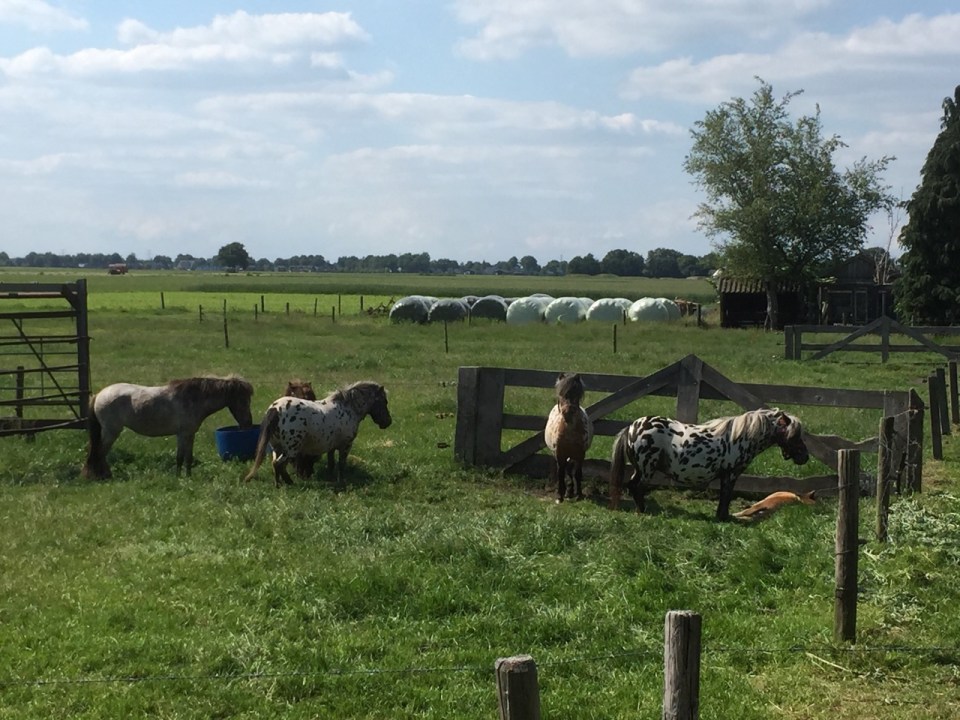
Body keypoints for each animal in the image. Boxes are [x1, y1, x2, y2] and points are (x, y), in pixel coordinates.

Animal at [82, 375, 254, 479]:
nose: (248, 423)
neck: (193, 399)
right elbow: (184, 457)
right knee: (99, 453)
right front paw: (182, 477)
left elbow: (184, 457)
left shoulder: (186, 434)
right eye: (243, 400)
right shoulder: (185, 434)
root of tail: (99, 395)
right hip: (111, 432)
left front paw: (184, 476)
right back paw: (103, 476)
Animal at [244, 380, 392, 488]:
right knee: (278, 464)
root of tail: (275, 408)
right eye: (384, 401)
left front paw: (331, 479)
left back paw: (279, 484)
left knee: (276, 464)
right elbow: (341, 464)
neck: (348, 408)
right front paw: (341, 481)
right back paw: (289, 482)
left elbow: (331, 463)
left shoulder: (331, 447)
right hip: (291, 449)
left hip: (277, 447)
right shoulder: (346, 446)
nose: (388, 422)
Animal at [544, 372, 594, 503]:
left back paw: (570, 491)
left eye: (577, 393)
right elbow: (561, 473)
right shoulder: (559, 453)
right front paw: (559, 496)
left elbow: (578, 473)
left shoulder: (580, 454)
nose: (568, 413)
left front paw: (579, 494)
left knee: (570, 470)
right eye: (561, 393)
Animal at [609, 407, 809, 521]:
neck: (739, 438)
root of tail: (632, 427)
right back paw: (643, 511)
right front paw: (724, 517)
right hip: (646, 468)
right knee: (636, 487)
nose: (804, 457)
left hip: (640, 469)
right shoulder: (731, 474)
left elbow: (724, 496)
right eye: (794, 435)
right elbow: (726, 495)